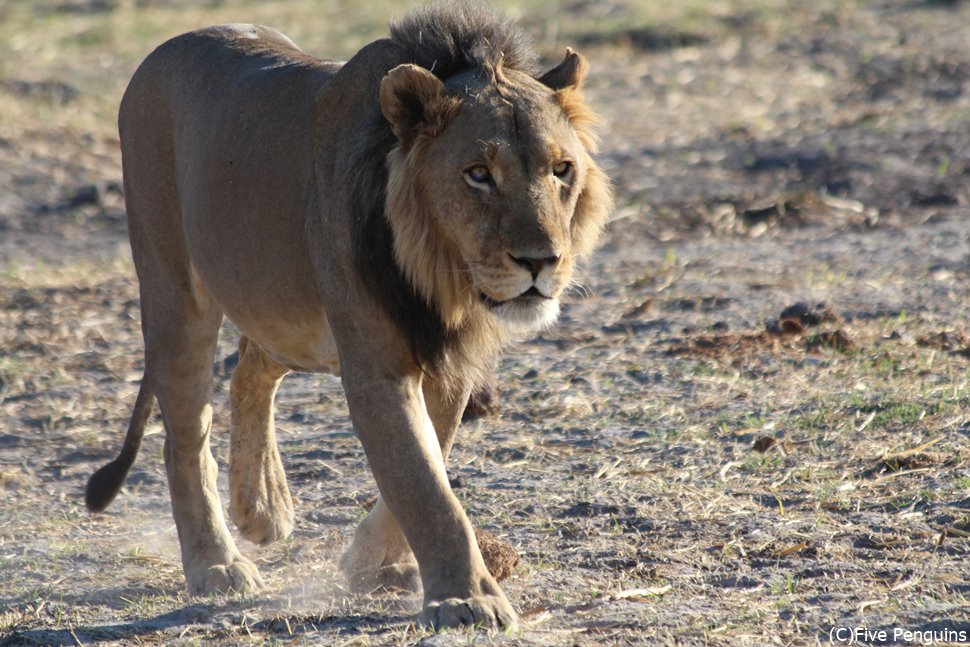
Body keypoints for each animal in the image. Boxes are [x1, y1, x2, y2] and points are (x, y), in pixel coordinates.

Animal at [87, 0, 608, 632]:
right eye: (479, 174)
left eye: (561, 170)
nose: (540, 261)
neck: (442, 277)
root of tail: (165, 49)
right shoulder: (375, 365)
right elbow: (423, 484)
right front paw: (466, 600)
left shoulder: (449, 365)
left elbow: (428, 460)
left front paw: (372, 562)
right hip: (173, 293)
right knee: (185, 435)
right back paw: (217, 563)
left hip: (283, 309)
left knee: (250, 368)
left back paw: (263, 508)